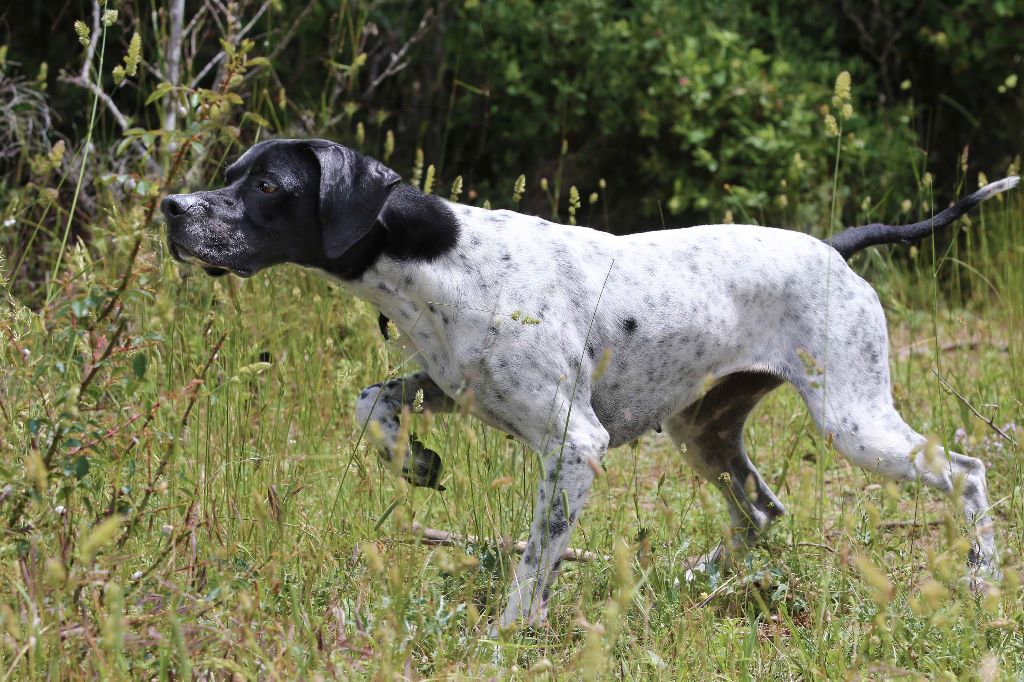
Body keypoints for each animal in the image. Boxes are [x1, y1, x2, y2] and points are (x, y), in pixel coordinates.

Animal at [162, 138, 1017, 629]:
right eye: (231, 175)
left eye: (267, 185)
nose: (171, 207)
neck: (439, 257)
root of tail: (836, 247)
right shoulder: (451, 385)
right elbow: (371, 400)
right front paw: (414, 461)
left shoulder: (574, 444)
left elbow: (534, 561)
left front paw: (511, 635)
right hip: (702, 431)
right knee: (762, 512)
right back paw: (692, 580)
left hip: (855, 422)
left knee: (967, 471)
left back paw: (981, 579)